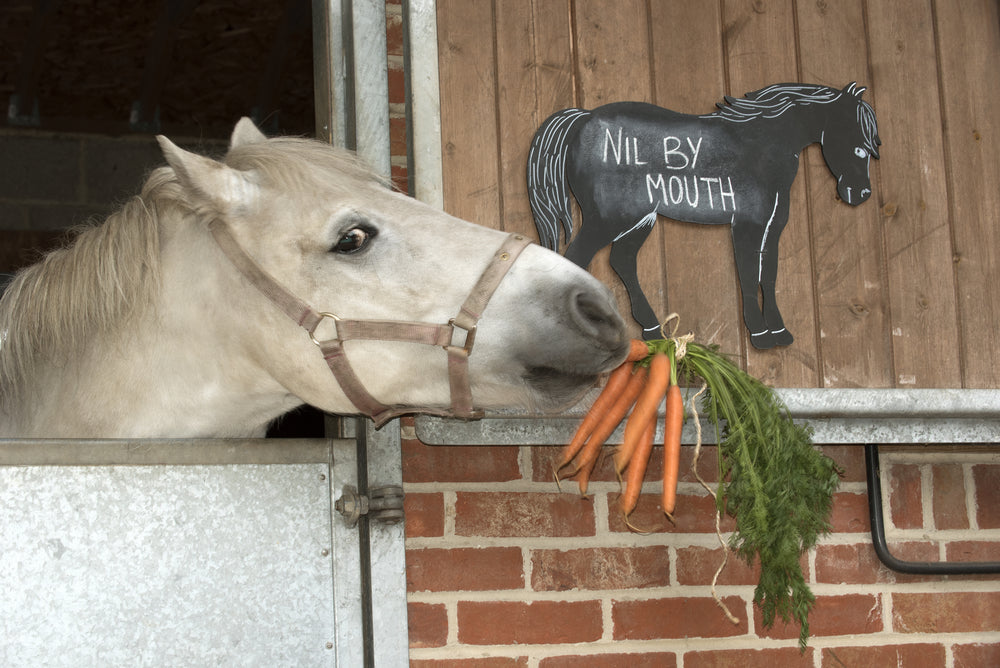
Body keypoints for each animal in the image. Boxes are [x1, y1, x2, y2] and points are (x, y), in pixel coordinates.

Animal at [527, 82, 881, 349]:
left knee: (622, 260)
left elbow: (769, 274)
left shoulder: (774, 225)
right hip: (611, 218)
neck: (761, 147)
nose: (860, 194)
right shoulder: (747, 224)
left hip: (641, 218)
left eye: (872, 146)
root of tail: (583, 117)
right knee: (577, 257)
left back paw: (652, 330)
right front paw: (761, 335)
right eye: (858, 146)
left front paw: (780, 332)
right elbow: (749, 274)